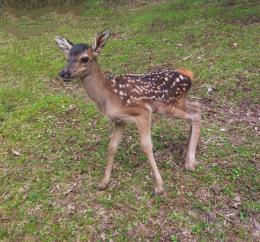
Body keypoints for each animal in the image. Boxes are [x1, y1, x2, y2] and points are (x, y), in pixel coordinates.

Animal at [54, 30, 201, 195]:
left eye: (84, 58)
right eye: (67, 57)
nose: (63, 73)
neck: (108, 95)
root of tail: (188, 73)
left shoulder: (142, 111)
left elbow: (146, 146)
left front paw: (159, 186)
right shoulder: (119, 120)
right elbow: (112, 146)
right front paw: (104, 182)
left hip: (168, 105)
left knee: (196, 114)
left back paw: (190, 162)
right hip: (178, 102)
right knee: (196, 106)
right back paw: (186, 151)